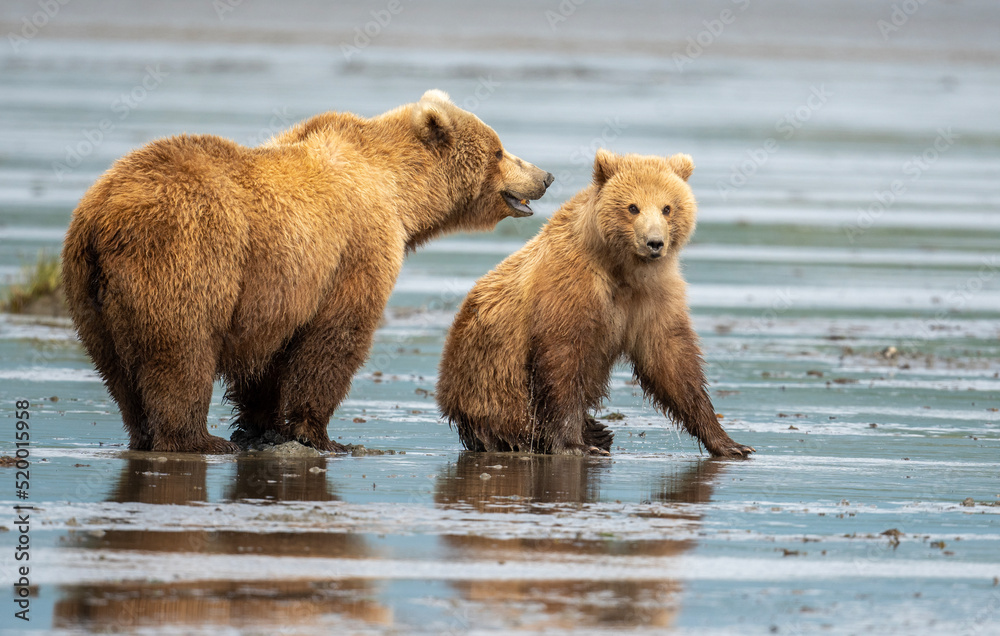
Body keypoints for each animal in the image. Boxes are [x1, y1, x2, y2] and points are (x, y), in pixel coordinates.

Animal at [60, 92, 556, 454]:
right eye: (499, 150)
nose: (546, 175)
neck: (399, 192)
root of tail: (100, 216)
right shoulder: (354, 250)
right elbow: (334, 340)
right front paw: (319, 434)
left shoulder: (279, 290)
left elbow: (267, 356)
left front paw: (261, 426)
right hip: (185, 252)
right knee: (180, 349)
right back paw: (198, 440)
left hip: (89, 293)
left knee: (117, 371)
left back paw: (146, 433)